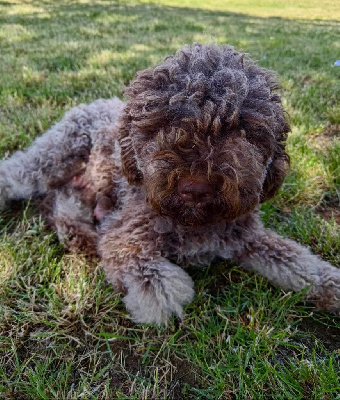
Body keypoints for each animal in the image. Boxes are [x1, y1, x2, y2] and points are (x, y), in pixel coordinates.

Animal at [0, 44, 340, 324]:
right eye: (164, 123)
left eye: (243, 130)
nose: (195, 188)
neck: (194, 222)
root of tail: (90, 103)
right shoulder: (125, 236)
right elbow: (162, 289)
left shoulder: (247, 236)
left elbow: (298, 262)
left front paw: (330, 285)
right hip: (55, 155)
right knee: (17, 174)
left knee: (64, 205)